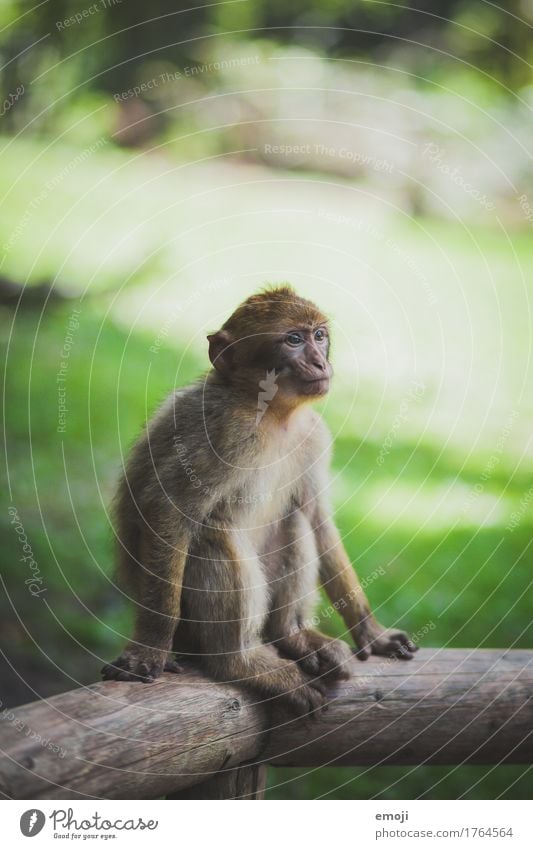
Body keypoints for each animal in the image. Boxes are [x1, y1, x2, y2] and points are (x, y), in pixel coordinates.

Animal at [103, 288, 416, 712]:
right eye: (293, 340)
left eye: (319, 335)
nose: (319, 361)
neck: (272, 414)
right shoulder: (220, 430)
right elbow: (168, 511)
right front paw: (149, 648)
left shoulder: (313, 435)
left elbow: (317, 518)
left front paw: (371, 632)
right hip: (192, 631)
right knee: (215, 535)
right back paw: (240, 661)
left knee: (294, 520)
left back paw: (292, 635)